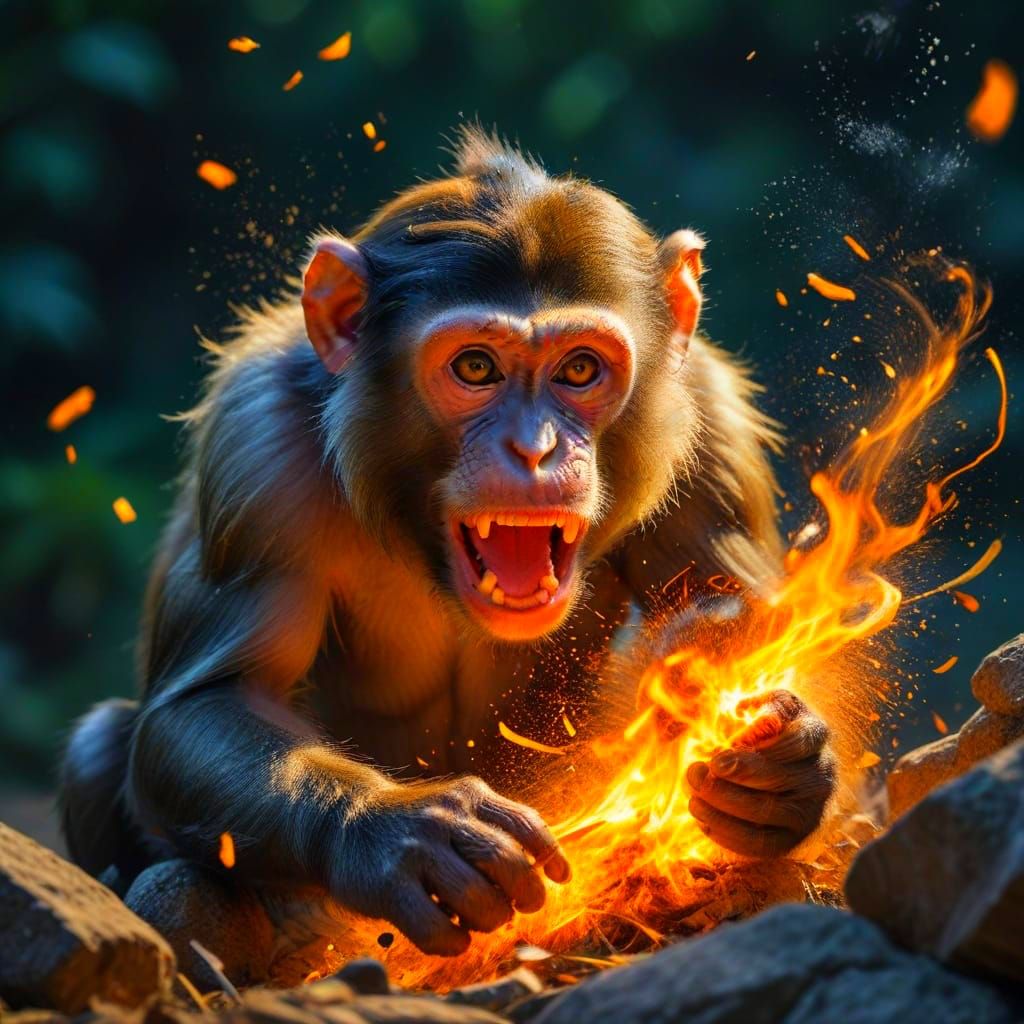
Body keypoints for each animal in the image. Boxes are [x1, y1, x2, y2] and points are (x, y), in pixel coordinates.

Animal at [60, 128, 836, 962]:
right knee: (100, 746)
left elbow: (744, 624)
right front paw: (393, 832)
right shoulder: (255, 448)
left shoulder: (708, 421)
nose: (534, 449)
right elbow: (215, 698)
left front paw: (786, 770)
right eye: (475, 367)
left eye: (579, 369)